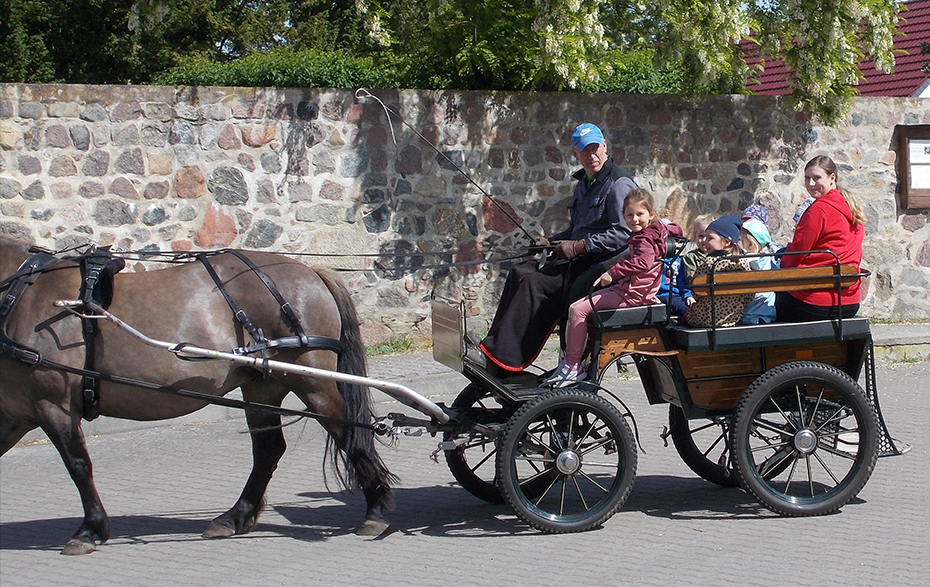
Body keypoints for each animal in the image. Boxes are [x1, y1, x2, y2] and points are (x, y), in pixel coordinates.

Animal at [0, 238, 392, 556]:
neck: (16, 296)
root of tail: (310, 270)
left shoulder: (54, 404)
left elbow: (78, 465)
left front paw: (90, 529)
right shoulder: (14, 415)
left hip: (312, 381)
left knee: (352, 432)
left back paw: (376, 507)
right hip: (261, 385)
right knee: (269, 450)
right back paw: (235, 516)